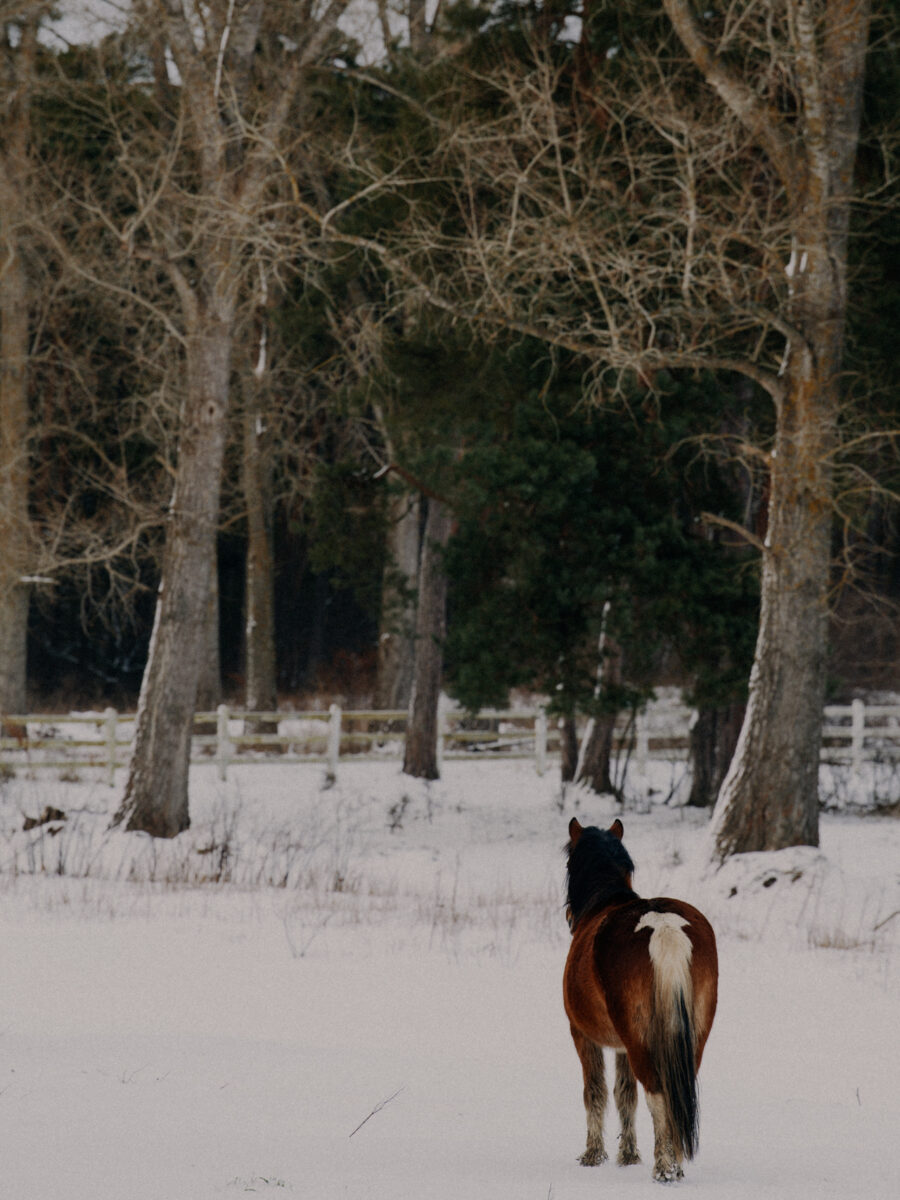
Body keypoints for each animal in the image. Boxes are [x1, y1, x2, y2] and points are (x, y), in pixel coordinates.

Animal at [564, 816, 720, 1180]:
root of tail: (664, 928)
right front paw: (628, 1155)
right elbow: (625, 1094)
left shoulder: (583, 1035)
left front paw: (594, 1154)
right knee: (678, 1094)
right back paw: (675, 1162)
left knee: (656, 1092)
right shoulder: (621, 1045)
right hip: (692, 1036)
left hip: (638, 1037)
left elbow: (596, 1092)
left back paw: (664, 1167)